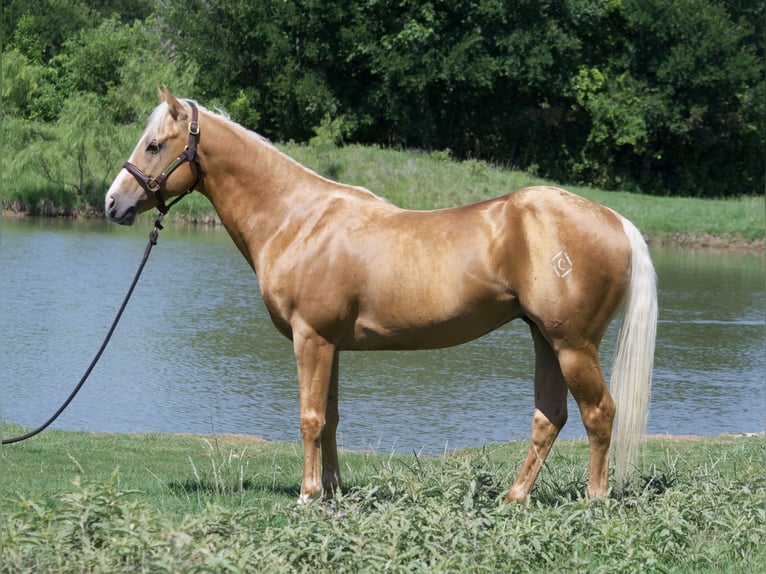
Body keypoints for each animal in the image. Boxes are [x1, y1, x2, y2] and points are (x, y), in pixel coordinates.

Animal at [106, 89, 657, 504]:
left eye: (154, 145)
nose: (113, 203)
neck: (299, 220)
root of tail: (615, 220)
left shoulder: (310, 338)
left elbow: (309, 418)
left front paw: (307, 496)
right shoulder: (329, 343)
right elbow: (329, 419)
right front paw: (331, 492)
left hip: (573, 345)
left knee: (599, 414)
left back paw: (594, 500)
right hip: (545, 339)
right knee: (550, 417)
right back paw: (513, 499)